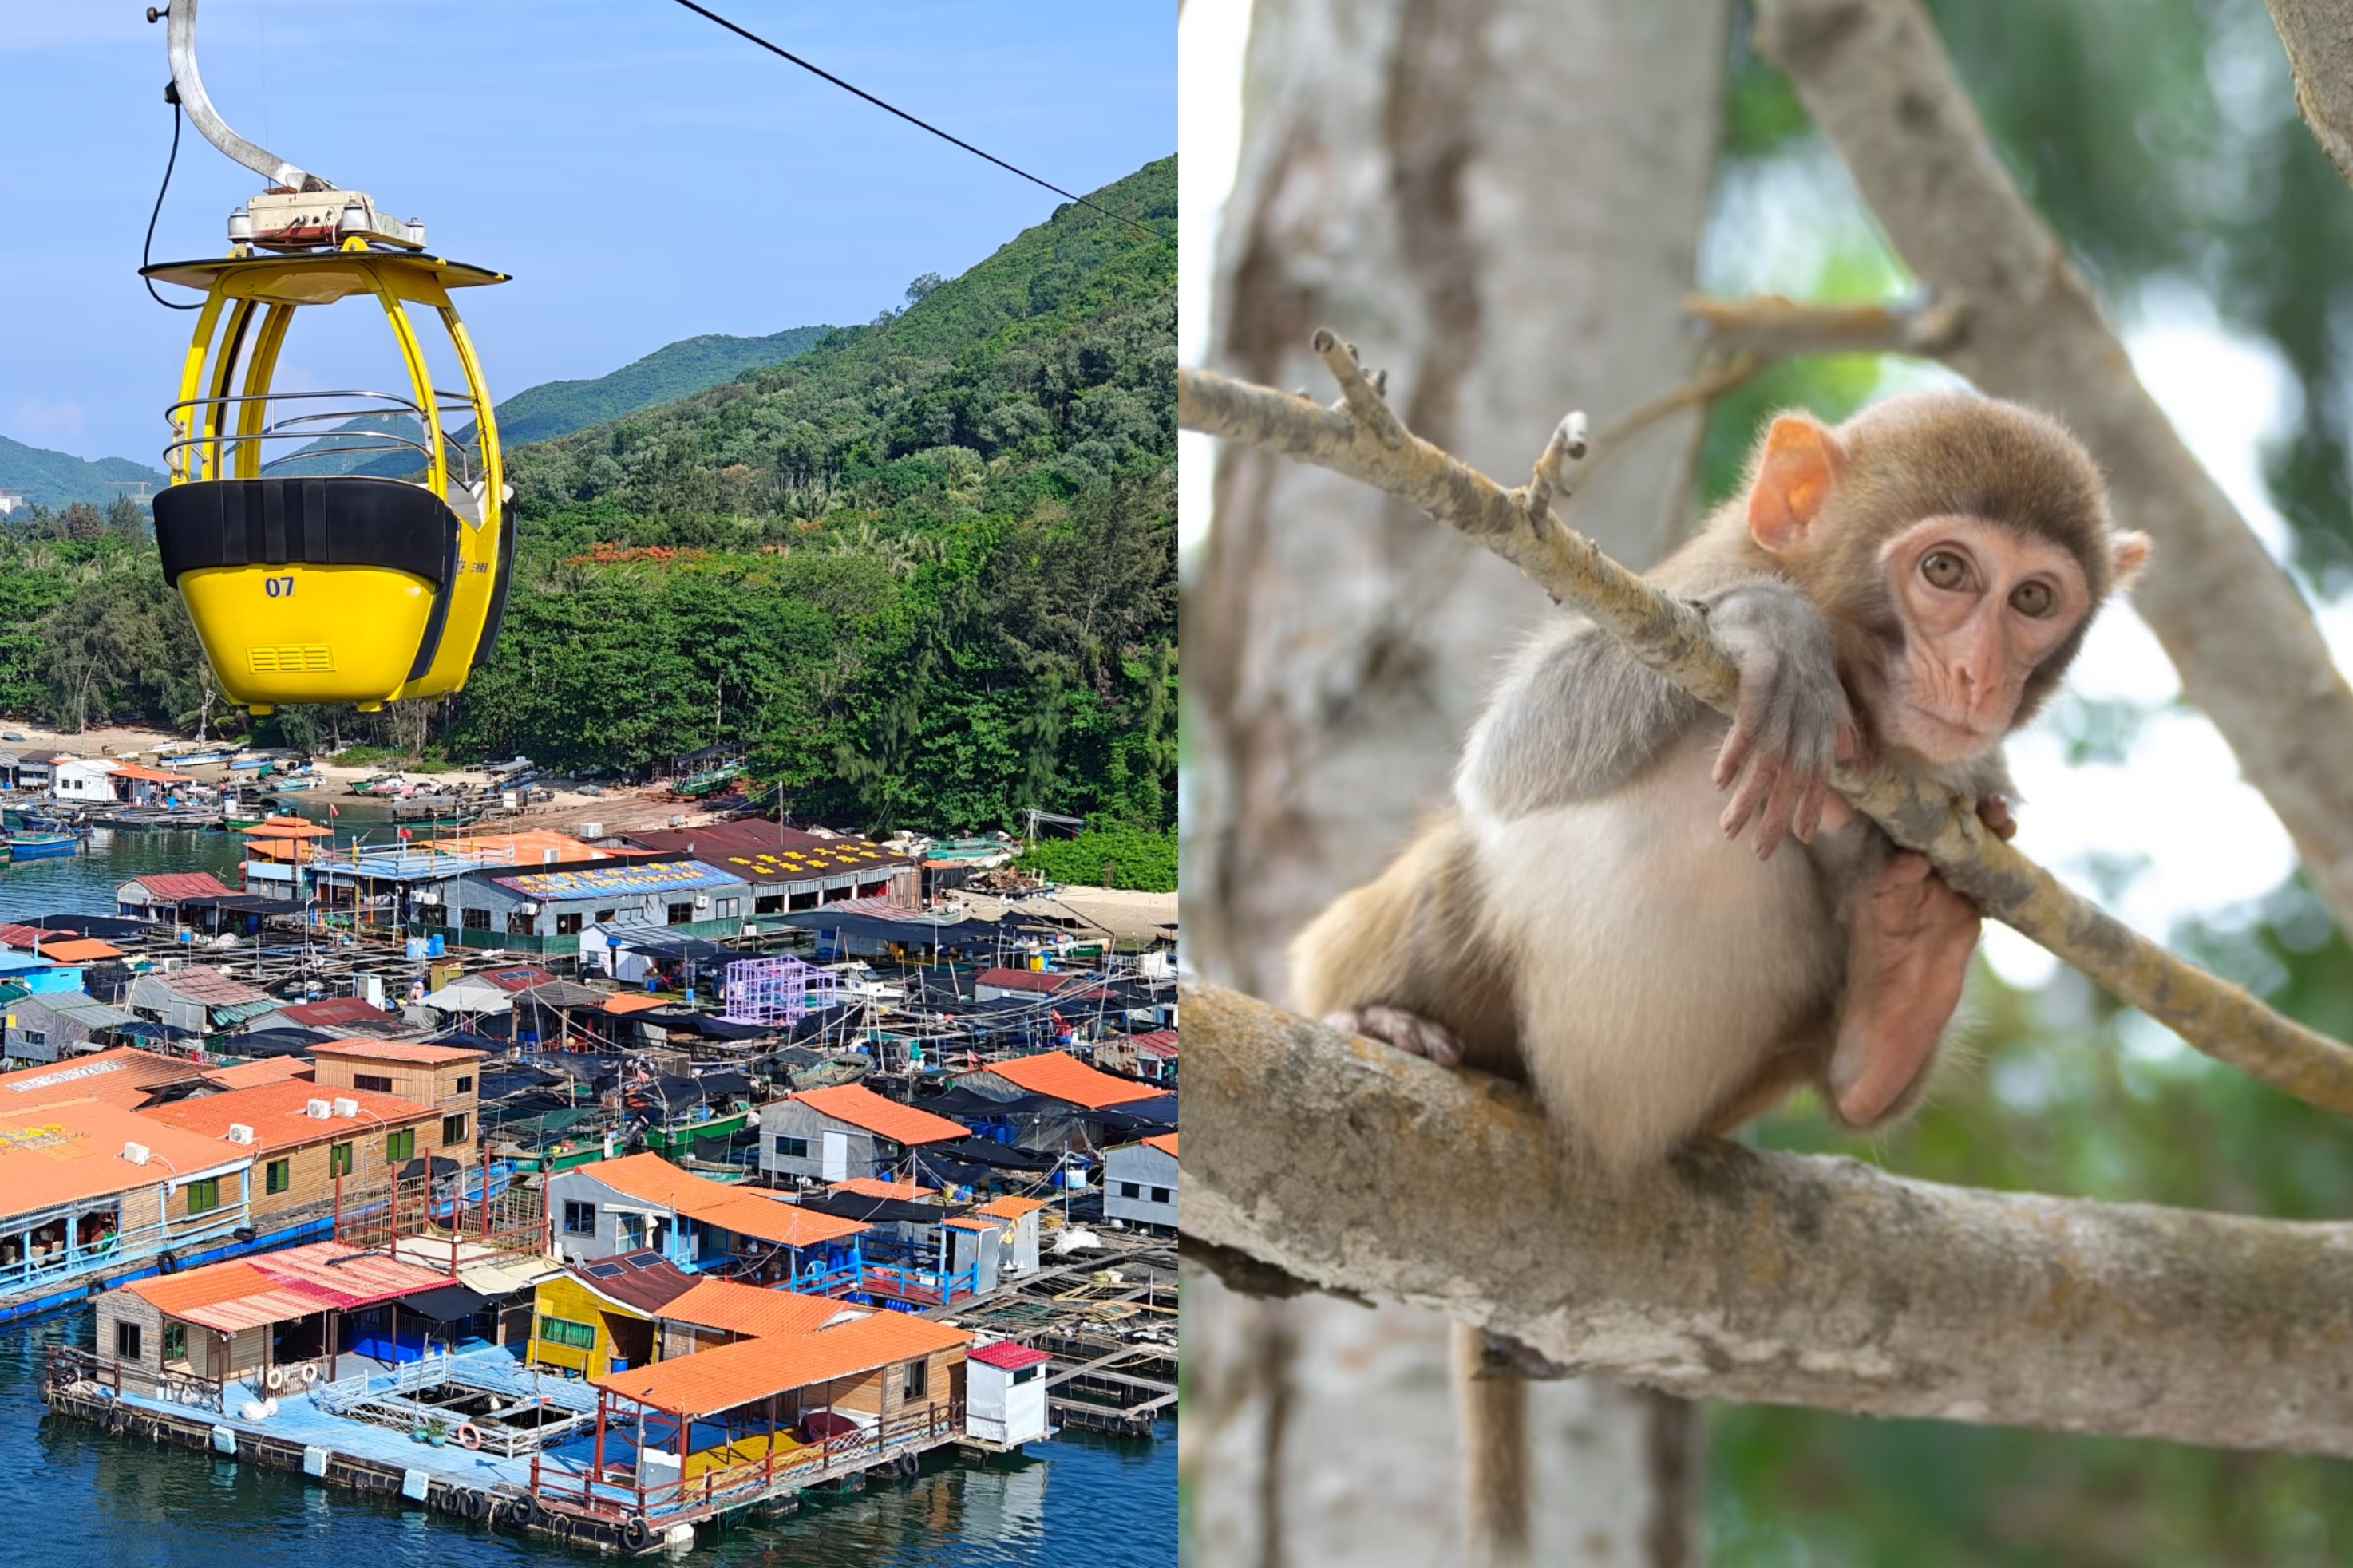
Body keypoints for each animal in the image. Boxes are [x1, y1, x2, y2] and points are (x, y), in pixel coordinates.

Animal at [1287, 390, 2150, 1564]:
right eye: (1946, 572)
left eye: (2032, 598)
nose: (1979, 677)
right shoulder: (1691, 575)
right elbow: (1510, 758)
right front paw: (1767, 632)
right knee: (1468, 854)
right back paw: (1380, 1019)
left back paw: (1898, 993)